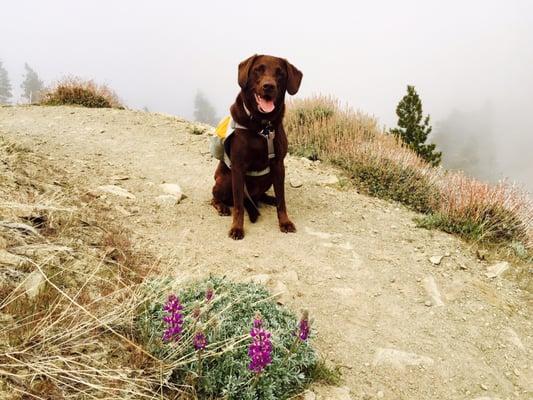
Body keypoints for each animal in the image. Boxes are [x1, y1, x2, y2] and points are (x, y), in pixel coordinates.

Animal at [212, 54, 304, 239]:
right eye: (258, 70)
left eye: (280, 73)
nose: (269, 86)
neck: (263, 126)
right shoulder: (238, 167)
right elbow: (239, 205)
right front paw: (237, 228)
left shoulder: (278, 165)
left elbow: (282, 201)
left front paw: (285, 222)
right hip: (225, 179)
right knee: (216, 197)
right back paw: (222, 206)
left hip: (268, 178)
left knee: (263, 196)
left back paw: (269, 198)